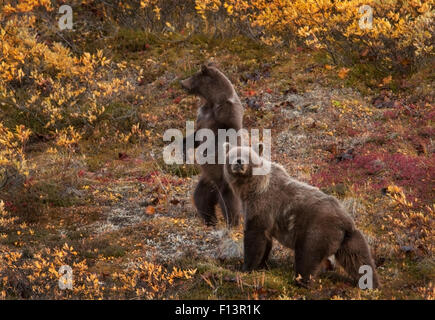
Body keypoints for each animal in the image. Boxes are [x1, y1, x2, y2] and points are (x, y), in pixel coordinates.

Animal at [179, 63, 244, 228]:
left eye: (194, 75)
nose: (181, 83)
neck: (212, 101)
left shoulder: (227, 114)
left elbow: (226, 132)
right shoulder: (202, 115)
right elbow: (195, 135)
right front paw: (183, 150)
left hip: (224, 180)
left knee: (228, 201)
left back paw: (232, 223)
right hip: (206, 182)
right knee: (201, 199)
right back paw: (209, 221)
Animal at [223, 144, 380, 288]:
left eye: (248, 156)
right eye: (233, 154)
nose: (239, 162)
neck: (250, 188)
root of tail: (345, 220)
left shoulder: (262, 206)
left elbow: (254, 236)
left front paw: (245, 267)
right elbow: (265, 241)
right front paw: (262, 264)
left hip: (316, 231)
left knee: (307, 257)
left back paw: (301, 282)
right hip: (350, 239)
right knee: (359, 259)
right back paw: (372, 283)